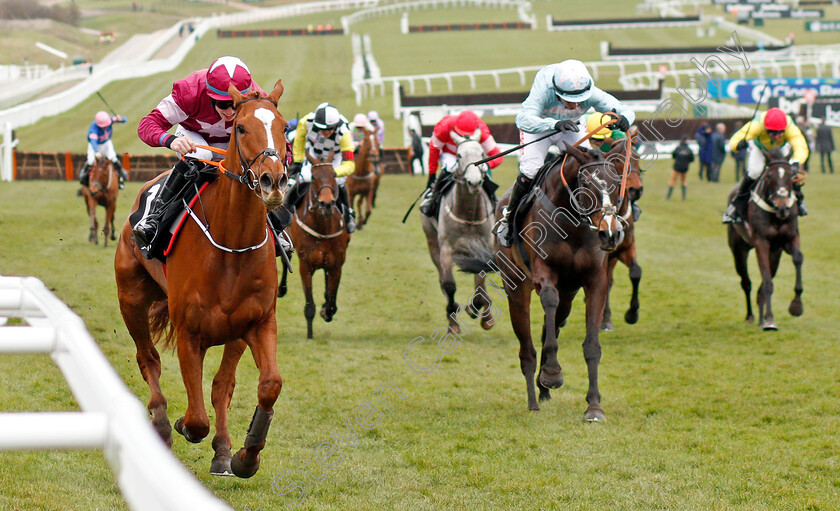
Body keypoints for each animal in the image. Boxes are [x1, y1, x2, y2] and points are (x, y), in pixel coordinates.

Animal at [115, 80, 290, 480]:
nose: (273, 181)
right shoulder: (189, 333)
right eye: (241, 128)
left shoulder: (258, 322)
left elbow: (265, 385)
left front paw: (244, 456)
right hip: (130, 298)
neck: (231, 245)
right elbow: (195, 420)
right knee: (148, 359)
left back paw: (224, 450)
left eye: (285, 127)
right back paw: (163, 425)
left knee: (221, 386)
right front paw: (181, 425)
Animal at [280, 155, 350, 340]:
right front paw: (310, 334)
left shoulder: (336, 264)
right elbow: (309, 305)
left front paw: (326, 310)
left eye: (333, 175)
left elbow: (332, 302)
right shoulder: (306, 265)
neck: (323, 228)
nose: (326, 204)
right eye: (314, 177)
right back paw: (281, 289)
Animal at [420, 133, 498, 332]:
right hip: (432, 244)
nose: (475, 182)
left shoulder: (483, 247)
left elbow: (480, 284)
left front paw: (479, 311)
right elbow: (449, 285)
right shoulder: (447, 249)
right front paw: (453, 321)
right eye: (460, 155)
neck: (469, 212)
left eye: (481, 153)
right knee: (442, 279)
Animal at [460, 143, 632, 420]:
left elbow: (591, 345)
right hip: (516, 289)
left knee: (551, 326)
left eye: (617, 182)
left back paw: (542, 389)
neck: (572, 223)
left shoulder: (595, 280)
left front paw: (594, 406)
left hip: (568, 294)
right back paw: (534, 397)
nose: (610, 233)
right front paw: (552, 372)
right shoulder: (544, 273)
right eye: (586, 183)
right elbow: (549, 299)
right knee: (527, 348)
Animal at [724, 148, 804, 332]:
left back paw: (762, 318)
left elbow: (798, 259)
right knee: (746, 283)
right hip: (738, 249)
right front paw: (770, 320)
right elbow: (766, 282)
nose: (782, 207)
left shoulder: (788, 239)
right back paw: (751, 316)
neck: (776, 215)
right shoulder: (761, 242)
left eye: (791, 176)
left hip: (775, 253)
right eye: (768, 176)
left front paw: (796, 306)